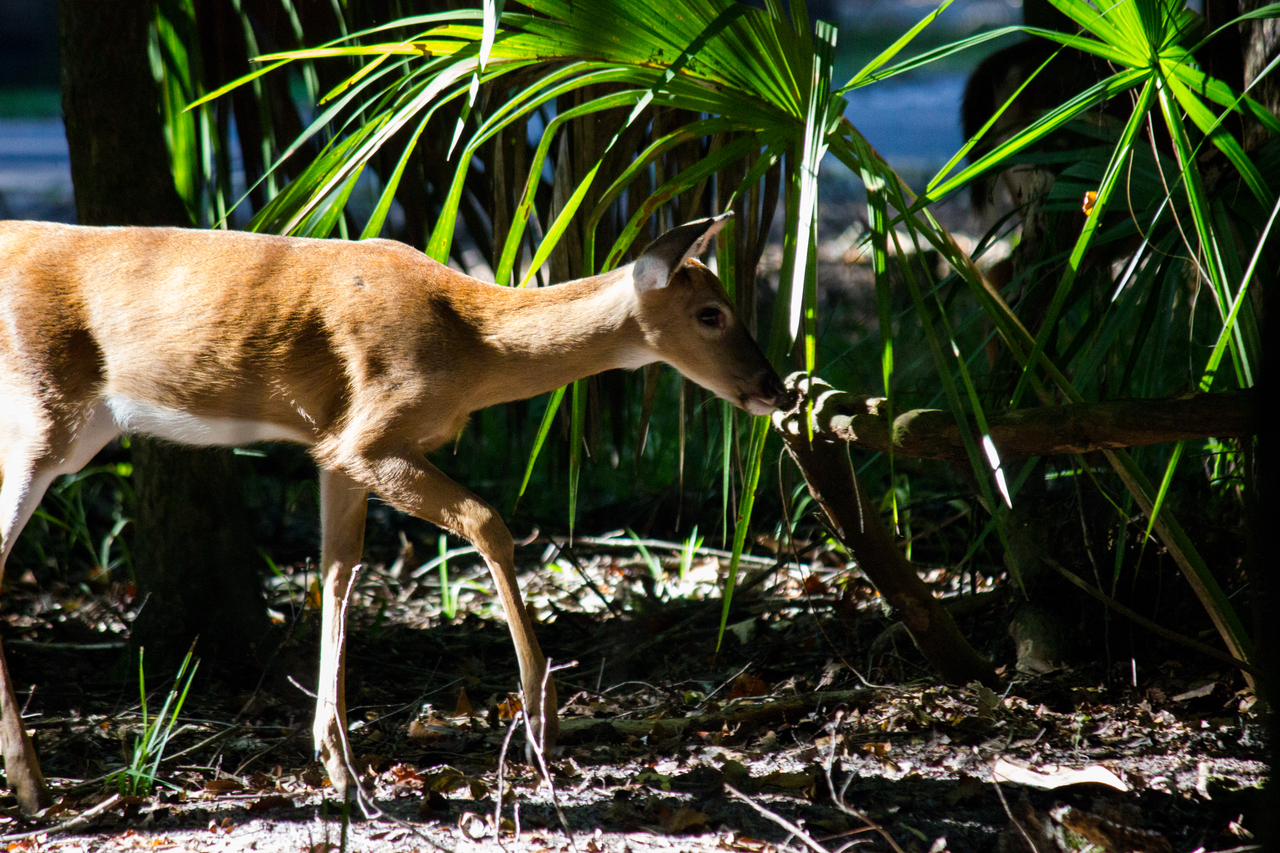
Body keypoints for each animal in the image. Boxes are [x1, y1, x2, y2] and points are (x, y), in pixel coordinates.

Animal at [0, 212, 788, 809]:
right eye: (711, 312)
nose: (772, 387)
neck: (472, 344)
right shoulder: (370, 434)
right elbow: (491, 524)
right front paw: (542, 722)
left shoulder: (333, 448)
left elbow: (338, 574)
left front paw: (343, 770)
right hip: (43, 415)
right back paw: (35, 787)